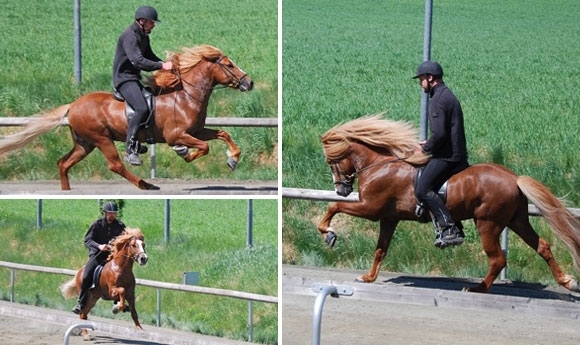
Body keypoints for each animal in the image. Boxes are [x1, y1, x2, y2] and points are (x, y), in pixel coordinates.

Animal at [0, 44, 254, 189]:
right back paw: (145, 184)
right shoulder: (176, 135)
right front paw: (184, 153)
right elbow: (203, 147)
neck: (185, 96)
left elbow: (223, 133)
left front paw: (232, 159)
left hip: (85, 143)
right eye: (229, 64)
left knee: (64, 163)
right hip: (102, 139)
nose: (249, 83)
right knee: (115, 165)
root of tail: (73, 105)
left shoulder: (197, 130)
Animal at [318, 114, 580, 292]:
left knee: (497, 259)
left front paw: (329, 234)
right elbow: (381, 249)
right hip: (517, 221)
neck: (379, 165)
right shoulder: (388, 218)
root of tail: (513, 177)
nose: (341, 189)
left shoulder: (370, 208)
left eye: (331, 162)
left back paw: (477, 288)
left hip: (488, 223)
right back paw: (568, 281)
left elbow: (334, 207)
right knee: (542, 246)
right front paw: (369, 277)